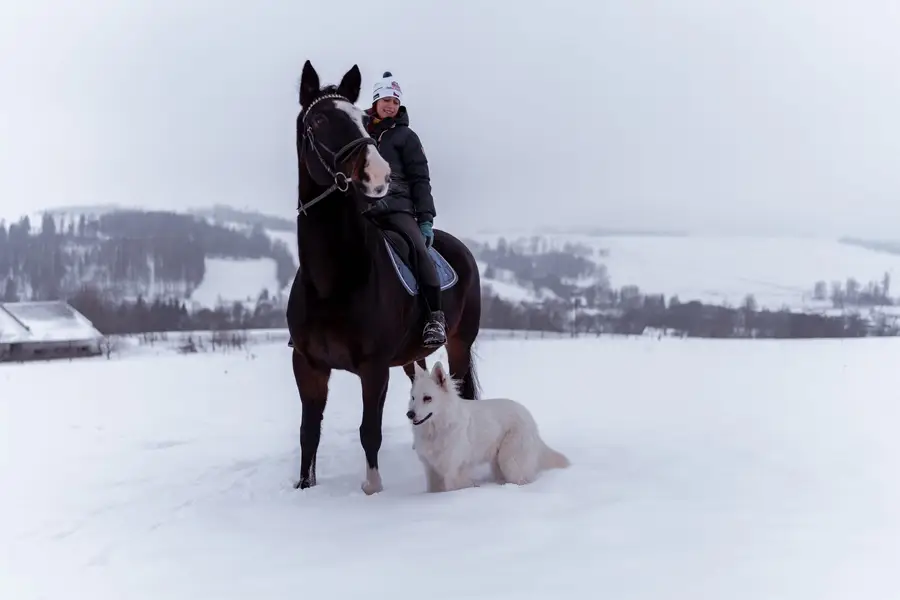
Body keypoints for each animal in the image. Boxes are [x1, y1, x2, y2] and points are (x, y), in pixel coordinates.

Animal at [288, 59, 486, 496]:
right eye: (319, 119)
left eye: (363, 120)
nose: (378, 174)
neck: (333, 279)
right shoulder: (307, 365)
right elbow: (308, 432)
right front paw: (304, 488)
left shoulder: (373, 367)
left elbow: (369, 431)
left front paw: (373, 490)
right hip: (411, 356)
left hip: (460, 343)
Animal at [408, 360, 568, 492]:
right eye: (413, 398)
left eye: (427, 398)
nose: (409, 414)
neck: (437, 429)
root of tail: (528, 416)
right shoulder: (431, 470)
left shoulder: (453, 471)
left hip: (509, 462)